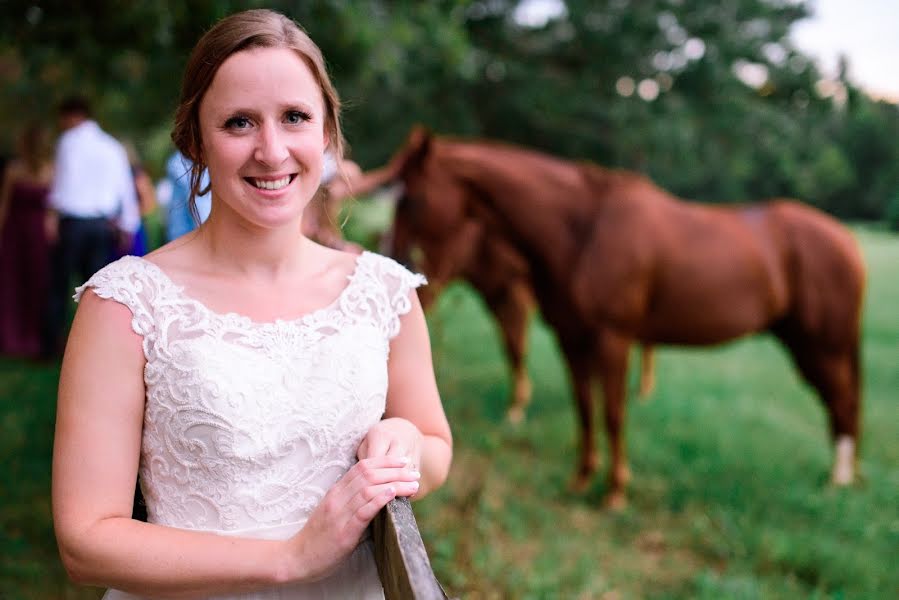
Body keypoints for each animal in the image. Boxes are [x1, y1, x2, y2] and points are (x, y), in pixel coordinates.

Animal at [370, 126, 864, 506]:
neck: (584, 231)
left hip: (821, 346)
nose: (393, 257)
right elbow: (585, 409)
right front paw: (582, 478)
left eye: (410, 200)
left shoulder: (613, 340)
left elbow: (612, 414)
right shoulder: (571, 340)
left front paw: (614, 491)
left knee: (841, 401)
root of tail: (846, 241)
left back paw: (837, 481)